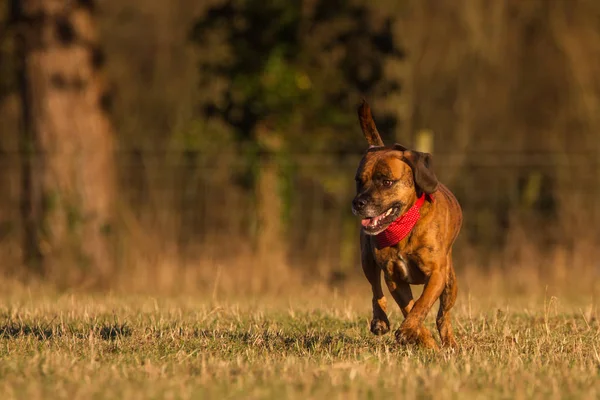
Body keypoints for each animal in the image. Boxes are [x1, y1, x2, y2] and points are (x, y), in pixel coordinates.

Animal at [352, 101, 464, 350]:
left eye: (387, 181)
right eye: (359, 181)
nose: (357, 203)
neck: (404, 226)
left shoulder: (437, 275)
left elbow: (421, 304)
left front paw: (409, 331)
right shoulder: (393, 277)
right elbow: (409, 307)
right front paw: (420, 337)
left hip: (450, 283)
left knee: (443, 315)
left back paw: (449, 342)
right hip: (366, 260)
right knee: (375, 290)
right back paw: (380, 321)